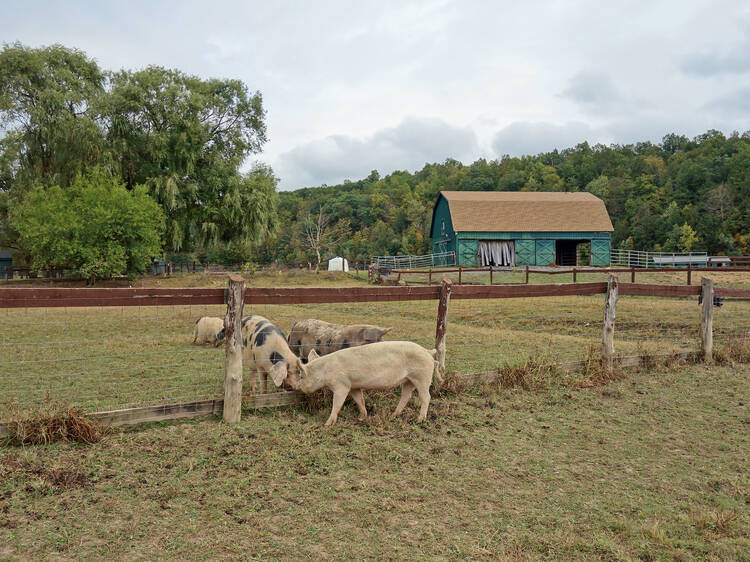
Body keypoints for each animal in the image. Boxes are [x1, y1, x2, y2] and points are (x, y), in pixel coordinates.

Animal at [286, 340, 440, 426]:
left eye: (301, 376)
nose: (291, 386)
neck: (326, 371)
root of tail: (427, 352)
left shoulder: (342, 385)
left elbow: (337, 404)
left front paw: (327, 424)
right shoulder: (354, 386)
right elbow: (360, 400)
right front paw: (361, 418)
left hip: (422, 377)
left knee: (426, 397)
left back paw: (419, 420)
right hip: (408, 380)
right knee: (406, 396)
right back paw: (393, 415)